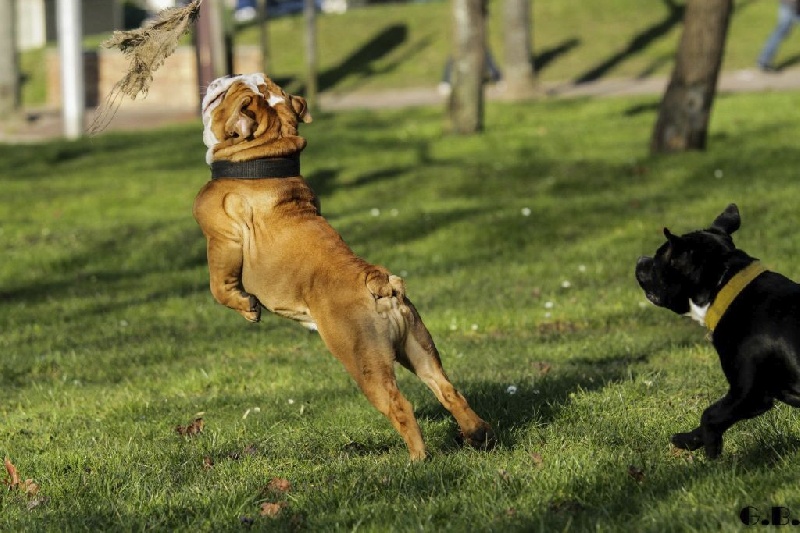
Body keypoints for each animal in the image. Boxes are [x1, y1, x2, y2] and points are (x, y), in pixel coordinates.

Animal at [194, 72, 494, 460]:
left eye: (231, 90)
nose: (228, 76)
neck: (263, 156)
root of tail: (379, 283)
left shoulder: (221, 240)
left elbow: (220, 286)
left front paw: (247, 308)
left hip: (363, 360)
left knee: (400, 405)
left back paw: (417, 460)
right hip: (418, 349)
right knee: (448, 390)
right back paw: (477, 434)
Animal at [636, 204, 800, 458]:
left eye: (656, 261)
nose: (640, 259)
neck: (724, 286)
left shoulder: (748, 394)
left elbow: (710, 415)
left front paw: (711, 448)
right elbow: (712, 415)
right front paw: (688, 440)